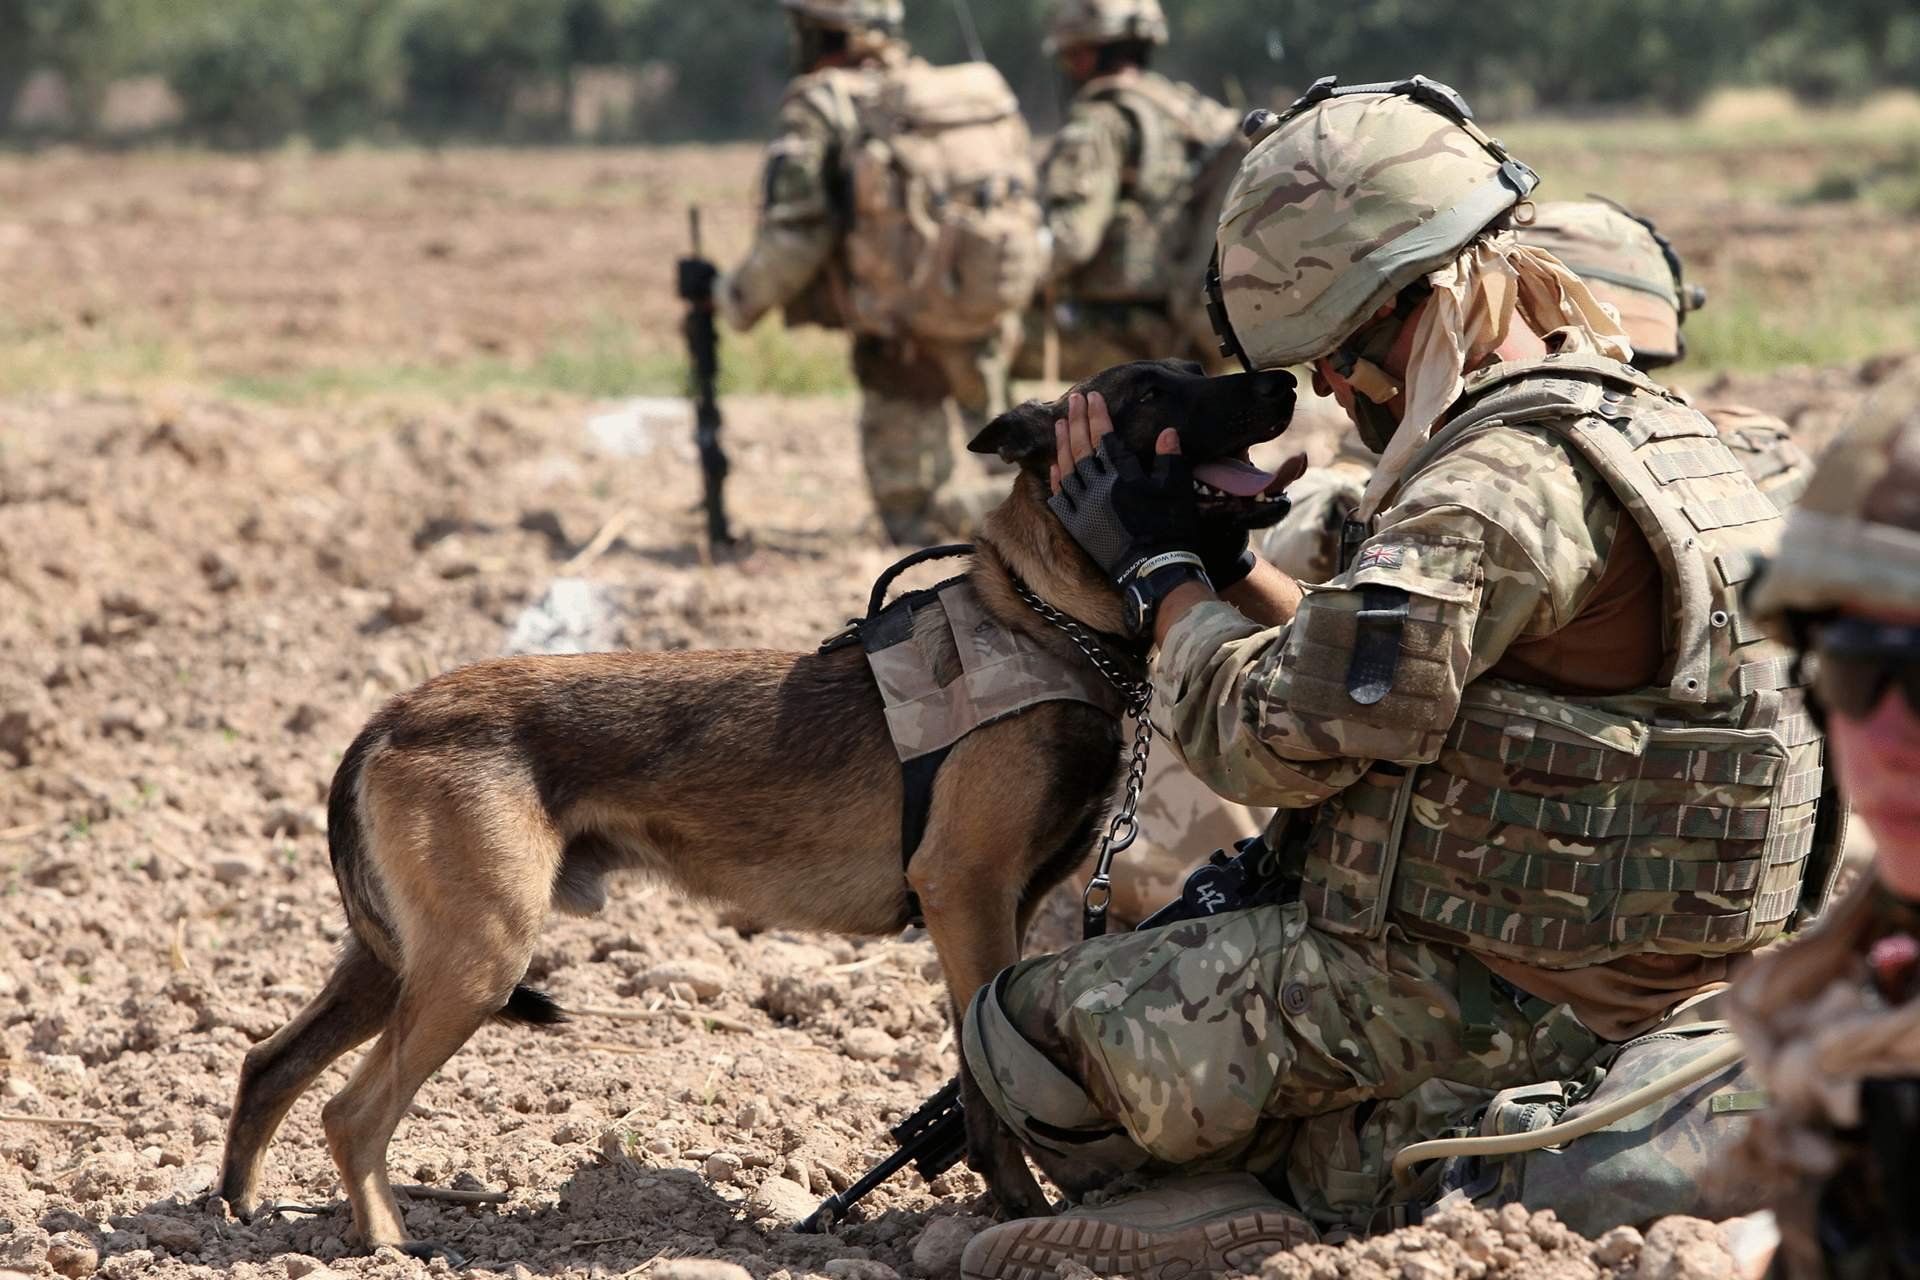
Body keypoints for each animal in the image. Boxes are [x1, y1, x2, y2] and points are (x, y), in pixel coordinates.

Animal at [220, 355, 1305, 1258]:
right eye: (1154, 388)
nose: (1286, 380)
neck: (1045, 618)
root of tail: (390, 715)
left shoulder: (1001, 910)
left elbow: (976, 1073)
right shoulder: (967, 896)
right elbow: (985, 1083)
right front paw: (1018, 1212)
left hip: (399, 956)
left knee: (269, 1062)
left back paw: (233, 1209)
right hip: (477, 955)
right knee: (352, 1109)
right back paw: (385, 1242)